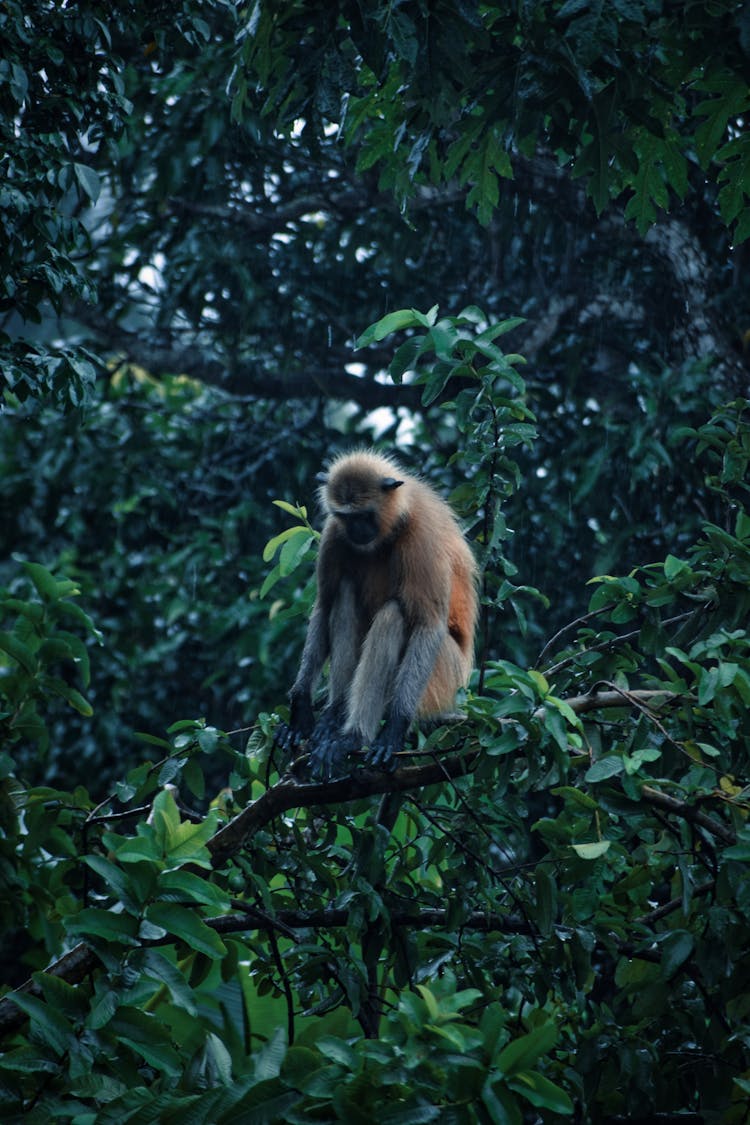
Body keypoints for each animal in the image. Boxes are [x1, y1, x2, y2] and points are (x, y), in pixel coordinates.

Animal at [277, 445, 481, 774]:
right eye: (346, 517)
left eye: (364, 515)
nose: (357, 530)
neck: (395, 523)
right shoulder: (334, 532)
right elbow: (323, 606)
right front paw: (300, 709)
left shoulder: (421, 534)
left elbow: (428, 625)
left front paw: (394, 728)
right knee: (344, 593)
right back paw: (335, 715)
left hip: (443, 679)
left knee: (394, 615)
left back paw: (355, 736)